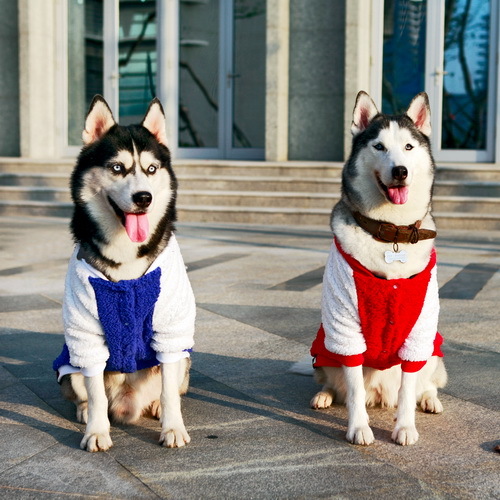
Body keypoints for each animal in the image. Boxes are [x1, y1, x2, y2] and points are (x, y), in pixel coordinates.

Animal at [53, 95, 194, 452]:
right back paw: (85, 411)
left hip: (185, 359)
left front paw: (173, 427)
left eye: (151, 169)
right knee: (89, 392)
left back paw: (156, 405)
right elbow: (95, 394)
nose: (144, 198)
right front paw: (96, 431)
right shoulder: (86, 333)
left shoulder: (171, 329)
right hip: (69, 364)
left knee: (171, 385)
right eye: (117, 168)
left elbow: (170, 391)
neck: (127, 253)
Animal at [310, 91, 448, 446]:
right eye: (379, 146)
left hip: (434, 350)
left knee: (426, 384)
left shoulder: (419, 327)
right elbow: (355, 389)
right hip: (325, 349)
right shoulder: (345, 326)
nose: (400, 171)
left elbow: (408, 389)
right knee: (336, 383)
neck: (391, 233)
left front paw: (405, 427)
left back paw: (430, 400)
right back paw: (324, 395)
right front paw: (359, 427)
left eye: (409, 147)